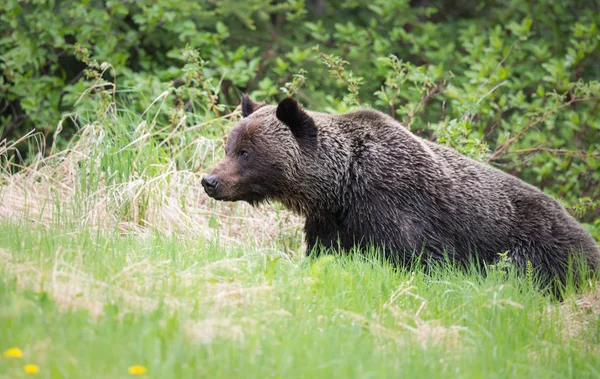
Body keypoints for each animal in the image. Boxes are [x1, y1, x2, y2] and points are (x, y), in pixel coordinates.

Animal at [203, 96, 600, 290]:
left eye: (246, 151)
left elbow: (418, 260)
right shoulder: (331, 222)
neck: (342, 187)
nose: (209, 180)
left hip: (541, 248)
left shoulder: (396, 207)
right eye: (229, 145)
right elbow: (323, 254)